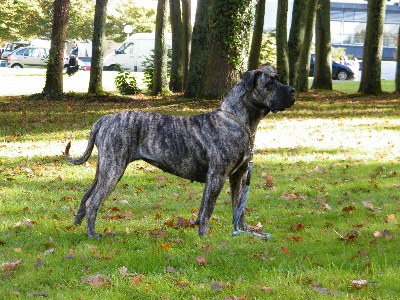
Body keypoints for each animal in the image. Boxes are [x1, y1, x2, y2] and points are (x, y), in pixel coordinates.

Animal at [65, 69, 296, 238]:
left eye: (278, 79)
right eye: (270, 83)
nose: (293, 90)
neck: (237, 120)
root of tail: (104, 119)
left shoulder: (238, 176)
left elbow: (239, 207)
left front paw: (244, 231)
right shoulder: (217, 176)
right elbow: (208, 208)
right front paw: (205, 236)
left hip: (104, 169)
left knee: (86, 197)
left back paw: (77, 226)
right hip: (113, 169)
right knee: (93, 202)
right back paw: (93, 234)